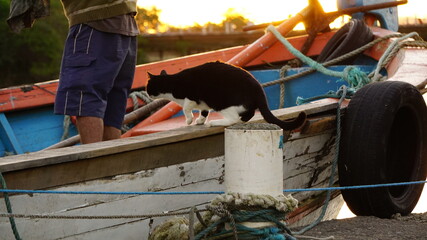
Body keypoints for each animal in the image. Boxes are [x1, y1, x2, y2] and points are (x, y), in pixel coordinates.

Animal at [147, 61, 308, 130]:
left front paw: (189, 120)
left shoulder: (191, 97)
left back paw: (216, 123)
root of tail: (258, 89)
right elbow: (204, 111)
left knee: (233, 119)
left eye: (148, 87)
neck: (172, 84)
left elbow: (186, 108)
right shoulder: (203, 103)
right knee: (247, 114)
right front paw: (199, 120)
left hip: (222, 102)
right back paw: (242, 120)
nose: (147, 94)